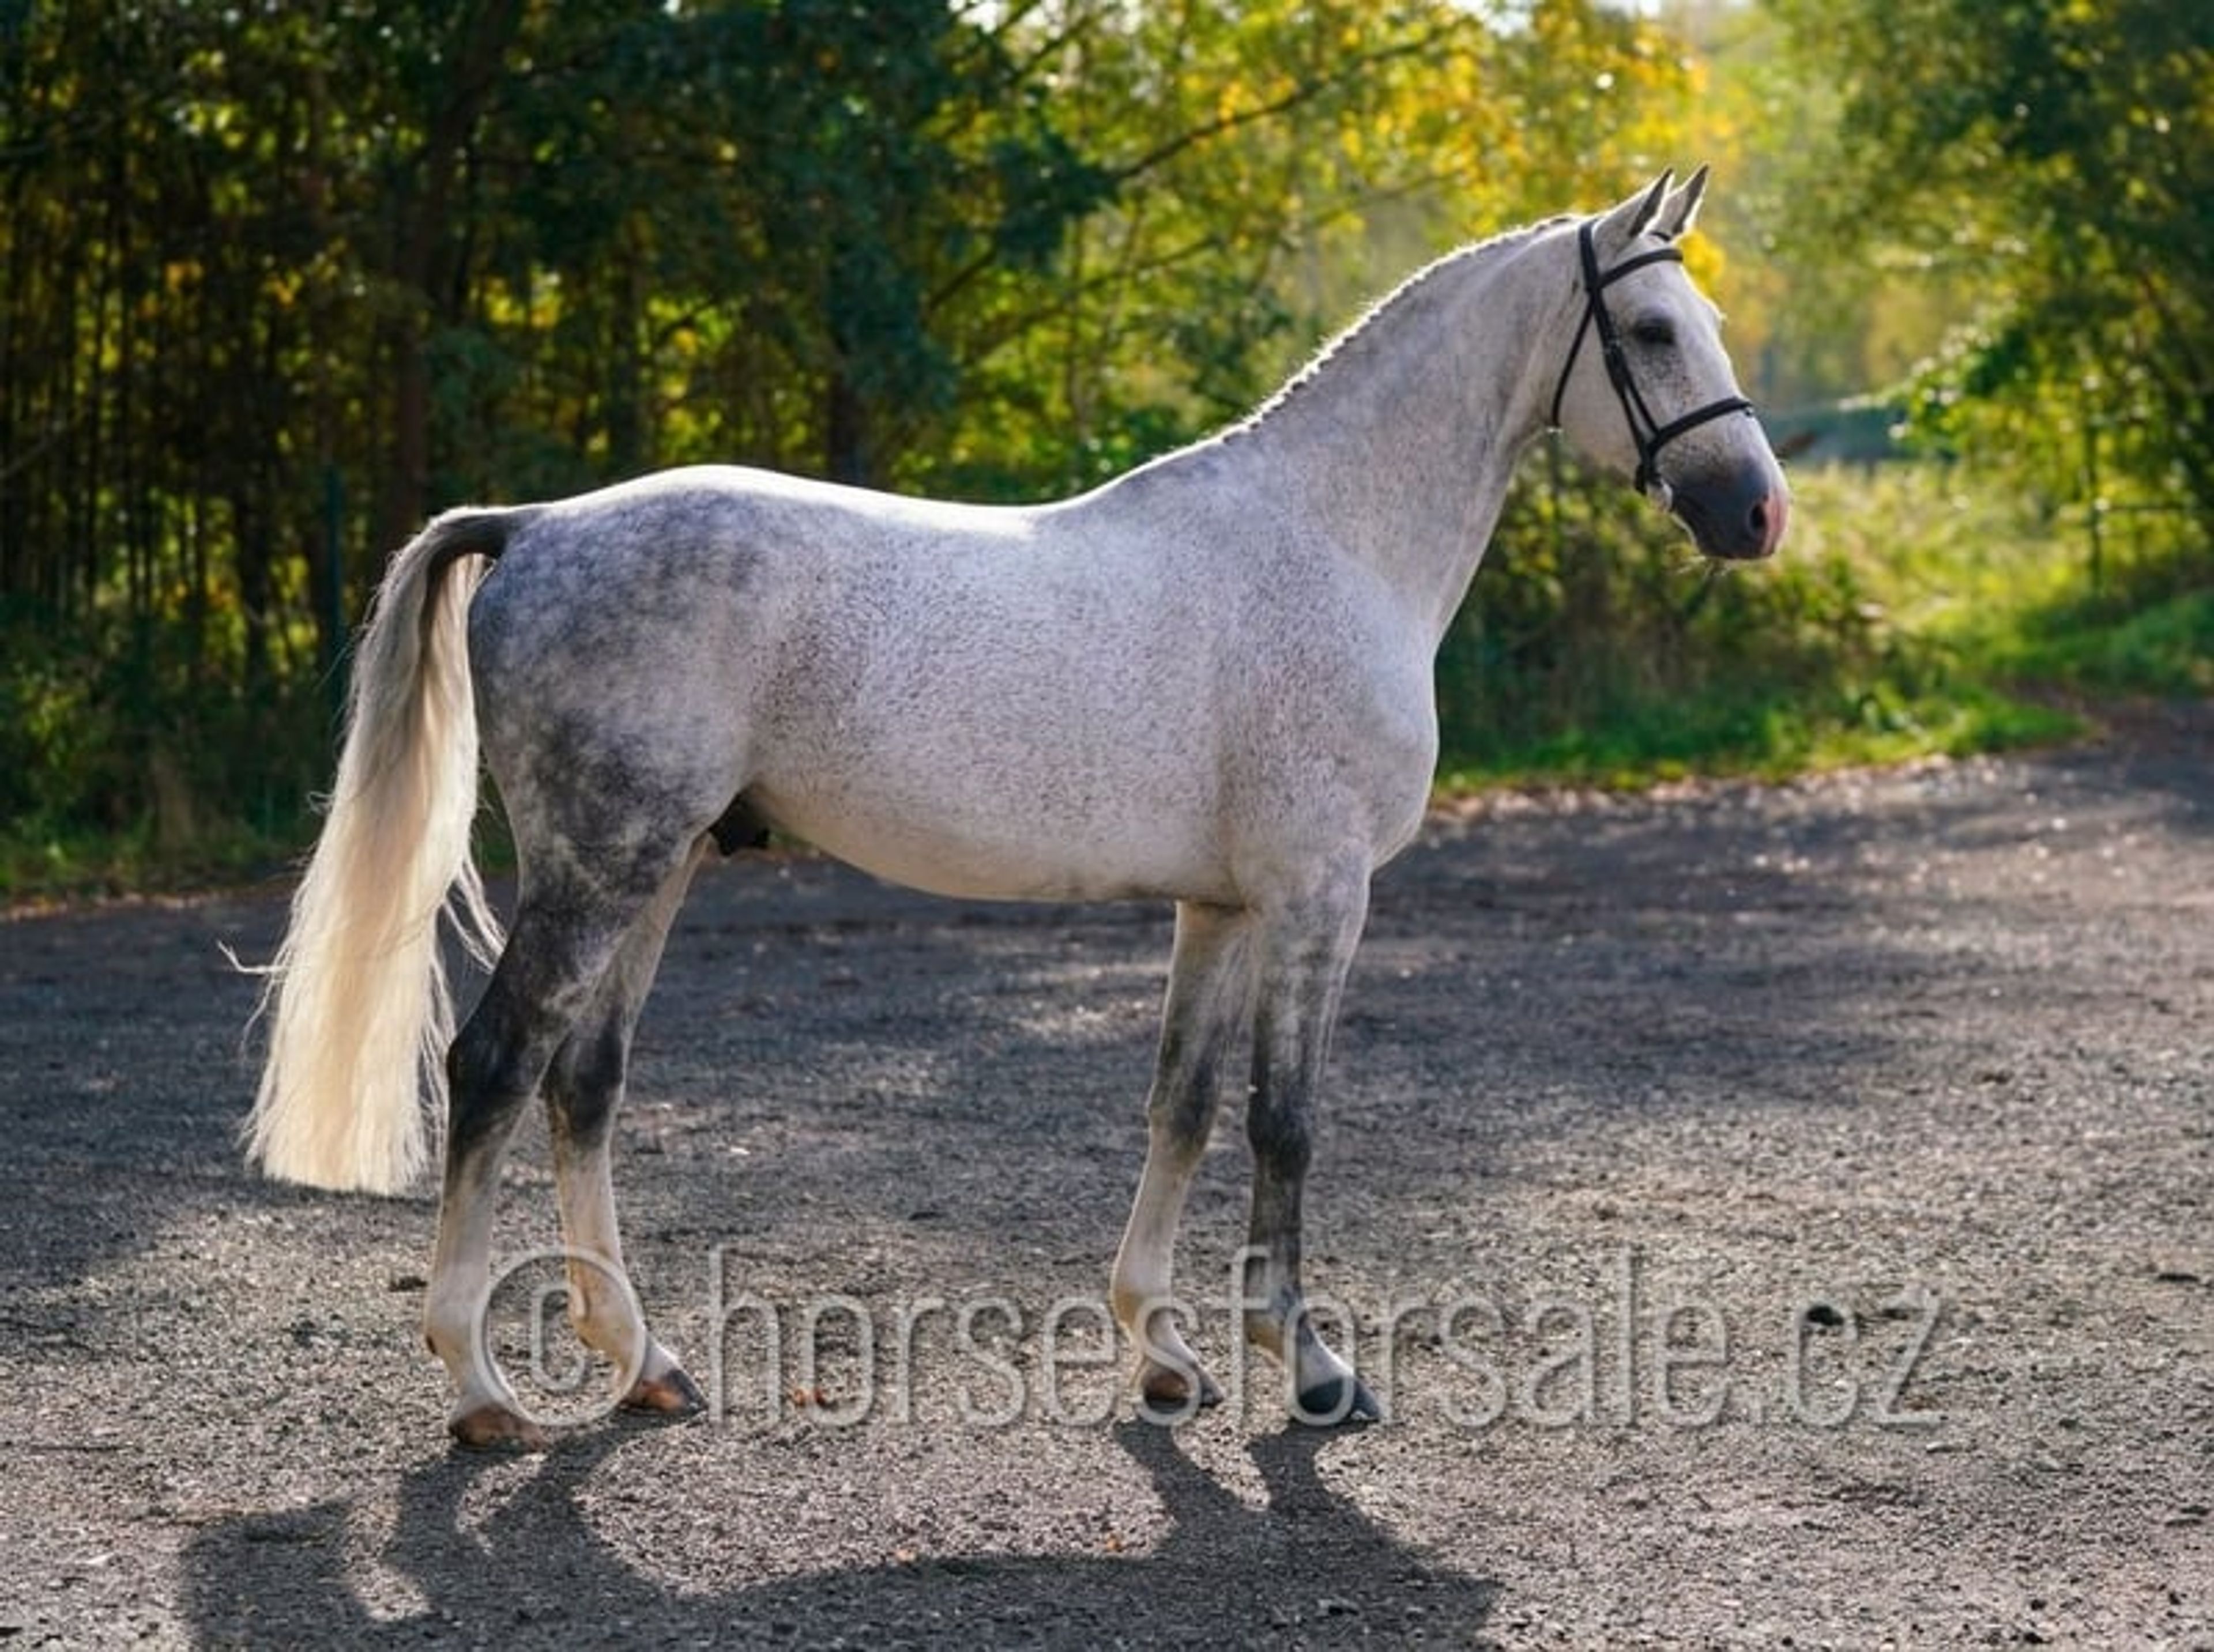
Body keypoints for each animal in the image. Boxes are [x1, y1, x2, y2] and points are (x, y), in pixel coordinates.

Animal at [246, 170, 1788, 1449]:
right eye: (1652, 328)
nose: (1756, 513)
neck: (1329, 540)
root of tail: (540, 525)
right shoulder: (1317, 898)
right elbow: (1283, 1123)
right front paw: (1310, 1373)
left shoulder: (1221, 906)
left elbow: (1180, 1106)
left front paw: (1163, 1353)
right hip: (597, 870)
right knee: (497, 1066)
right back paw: (481, 1388)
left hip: (659, 864)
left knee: (584, 1083)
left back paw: (645, 1365)